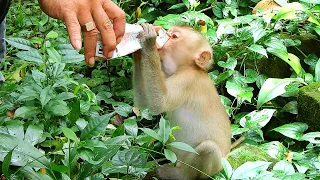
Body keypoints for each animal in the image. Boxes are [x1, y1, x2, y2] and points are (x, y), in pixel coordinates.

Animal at [132, 23, 230, 180]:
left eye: (174, 36)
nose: (165, 33)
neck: (187, 67)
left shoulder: (188, 79)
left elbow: (160, 102)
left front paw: (148, 41)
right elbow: (143, 103)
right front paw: (137, 52)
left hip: (214, 167)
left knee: (209, 148)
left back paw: (177, 175)